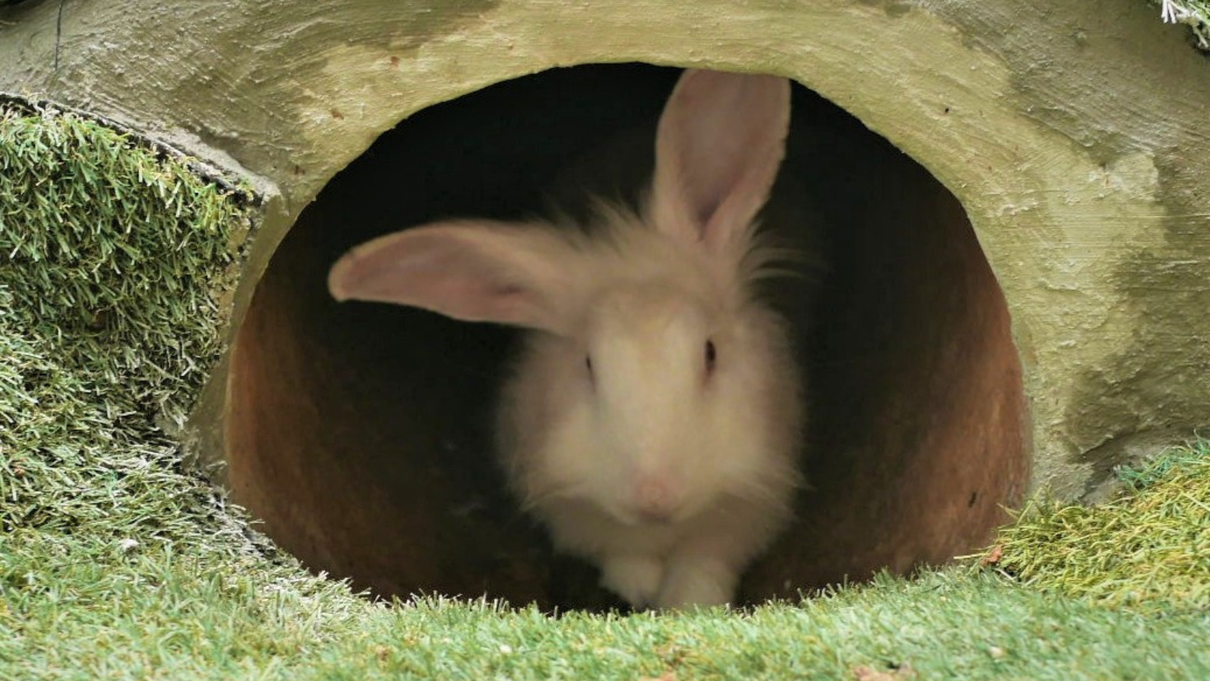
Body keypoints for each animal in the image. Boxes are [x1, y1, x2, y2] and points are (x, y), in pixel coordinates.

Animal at [327, 68, 809, 609]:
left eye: (710, 353)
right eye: (588, 365)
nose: (655, 498)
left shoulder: (745, 511)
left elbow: (703, 567)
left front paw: (686, 603)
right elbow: (623, 558)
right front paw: (640, 586)